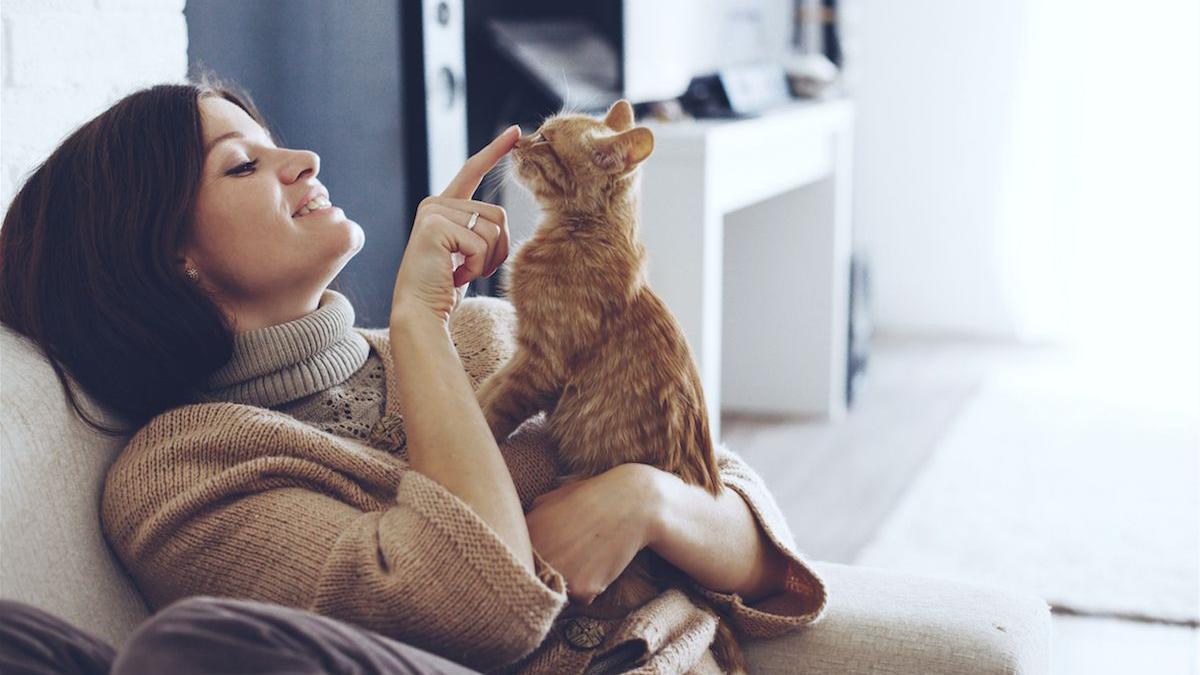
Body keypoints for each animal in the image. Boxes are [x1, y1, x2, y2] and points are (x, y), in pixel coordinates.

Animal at [475, 99, 739, 672]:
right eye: (539, 130)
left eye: (548, 143)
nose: (519, 139)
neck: (577, 233)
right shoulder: (524, 357)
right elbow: (484, 390)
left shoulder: (540, 365)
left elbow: (492, 409)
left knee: (632, 599)